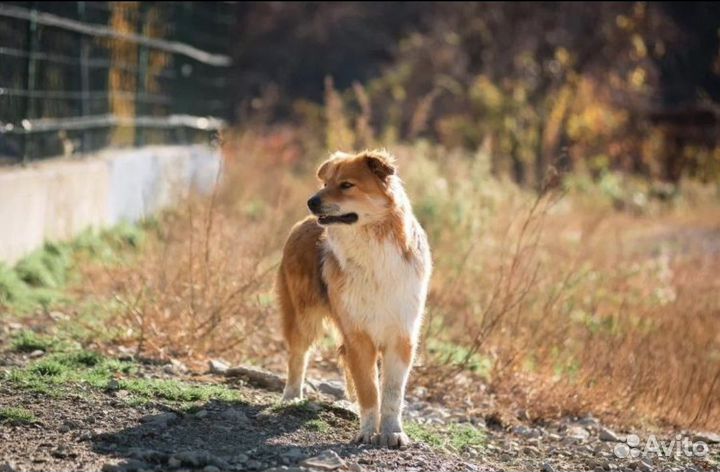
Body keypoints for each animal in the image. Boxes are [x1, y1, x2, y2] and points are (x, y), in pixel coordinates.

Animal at [278, 149, 434, 448]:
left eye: (346, 185)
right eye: (325, 183)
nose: (311, 202)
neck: (373, 252)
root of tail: (301, 223)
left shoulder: (401, 337)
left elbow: (392, 394)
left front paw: (392, 432)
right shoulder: (358, 338)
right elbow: (369, 390)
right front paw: (367, 432)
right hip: (304, 318)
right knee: (297, 355)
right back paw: (292, 396)